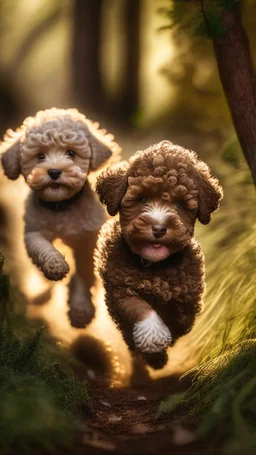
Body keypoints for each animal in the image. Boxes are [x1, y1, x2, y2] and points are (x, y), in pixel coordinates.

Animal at [0, 108, 120, 330]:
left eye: (71, 153)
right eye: (40, 156)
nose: (54, 171)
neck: (61, 206)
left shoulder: (87, 239)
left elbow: (83, 272)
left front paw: (81, 309)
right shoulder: (34, 231)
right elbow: (43, 248)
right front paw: (55, 266)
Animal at [94, 142, 222, 370]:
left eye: (180, 204)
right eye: (142, 199)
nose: (159, 228)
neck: (154, 267)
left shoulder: (188, 294)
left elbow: (180, 318)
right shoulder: (120, 288)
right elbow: (138, 307)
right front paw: (153, 335)